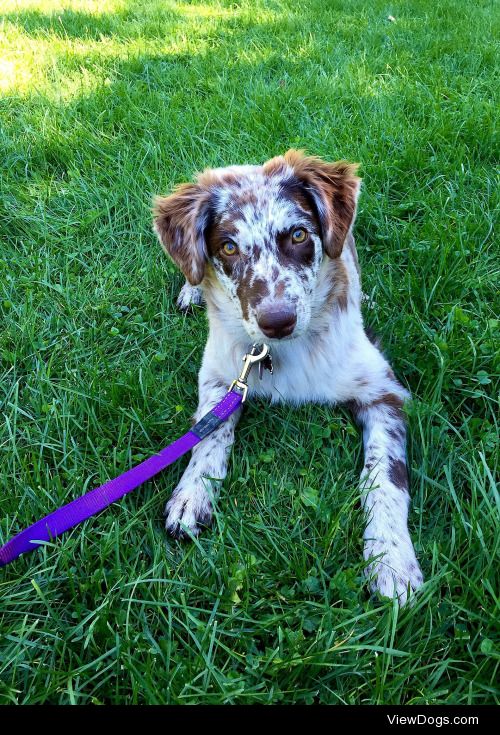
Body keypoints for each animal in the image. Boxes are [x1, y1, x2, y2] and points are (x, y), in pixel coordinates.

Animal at [152, 151, 422, 604]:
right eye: (228, 247)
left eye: (297, 235)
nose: (277, 322)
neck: (284, 354)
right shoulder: (219, 376)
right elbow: (209, 434)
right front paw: (192, 495)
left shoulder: (383, 391)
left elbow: (385, 476)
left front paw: (391, 558)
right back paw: (191, 291)